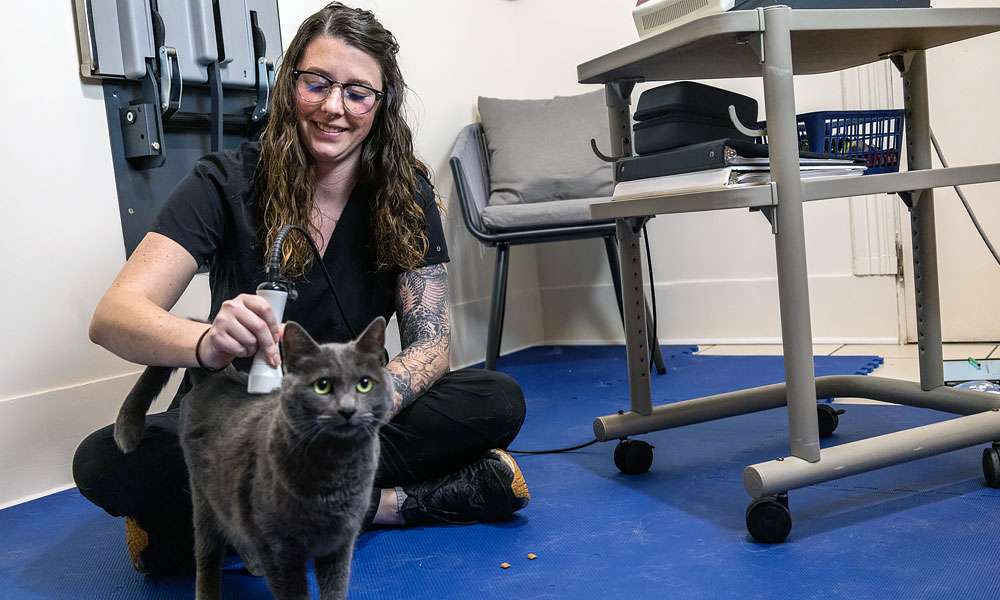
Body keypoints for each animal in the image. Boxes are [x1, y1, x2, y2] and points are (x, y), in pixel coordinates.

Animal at [112, 318, 386, 600]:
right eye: (322, 386)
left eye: (364, 384)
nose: (348, 409)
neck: (335, 474)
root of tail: (216, 376)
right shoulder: (280, 550)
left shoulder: (340, 544)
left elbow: (335, 589)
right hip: (205, 494)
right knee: (208, 550)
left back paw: (254, 565)